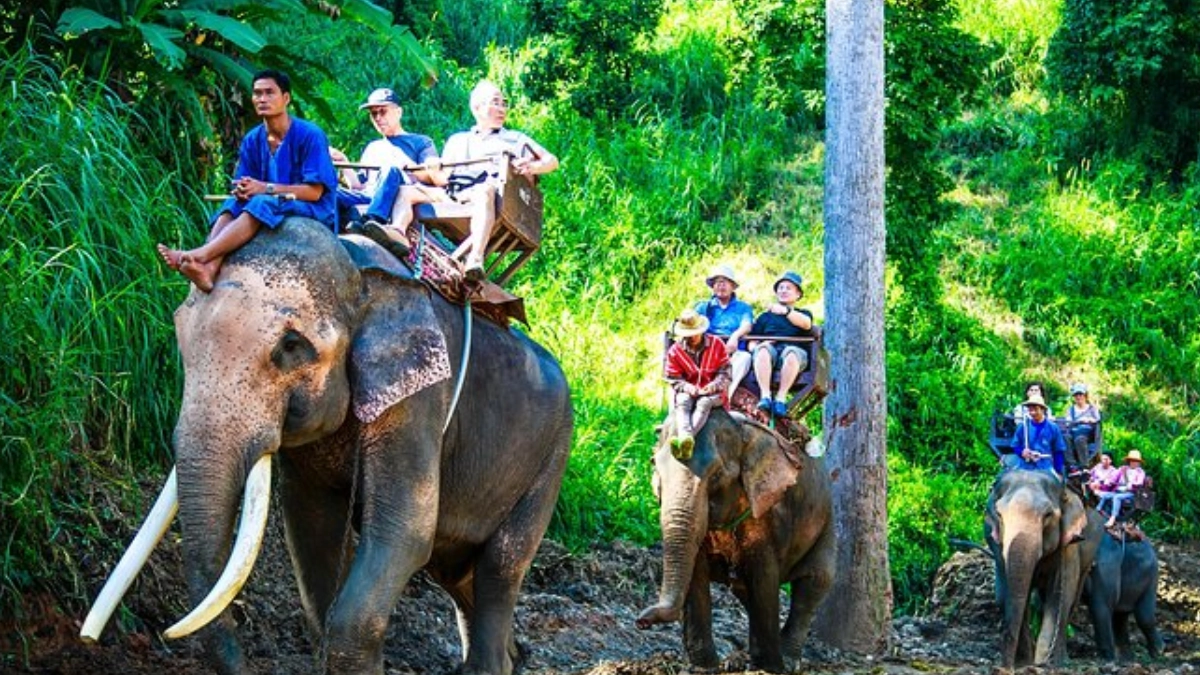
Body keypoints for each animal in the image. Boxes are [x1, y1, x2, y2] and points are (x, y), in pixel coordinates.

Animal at [80, 217, 573, 675]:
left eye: (290, 346)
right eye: (180, 331)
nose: (87, 640)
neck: (360, 269)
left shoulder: (420, 398)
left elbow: (405, 532)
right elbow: (311, 527)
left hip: (551, 461)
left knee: (500, 567)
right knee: (457, 572)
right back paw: (512, 655)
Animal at [635, 408, 835, 673]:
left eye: (717, 475)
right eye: (654, 466)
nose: (642, 621)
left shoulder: (767, 511)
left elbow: (764, 577)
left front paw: (767, 668)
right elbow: (696, 573)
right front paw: (704, 667)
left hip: (827, 520)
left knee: (815, 581)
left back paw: (788, 660)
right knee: (744, 589)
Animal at [984, 469, 1103, 667]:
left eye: (1048, 515)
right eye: (999, 515)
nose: (1005, 668)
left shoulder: (1069, 545)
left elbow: (1058, 596)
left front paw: (1044, 663)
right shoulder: (995, 544)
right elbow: (1007, 595)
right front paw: (1025, 662)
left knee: (1071, 599)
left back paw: (1062, 659)